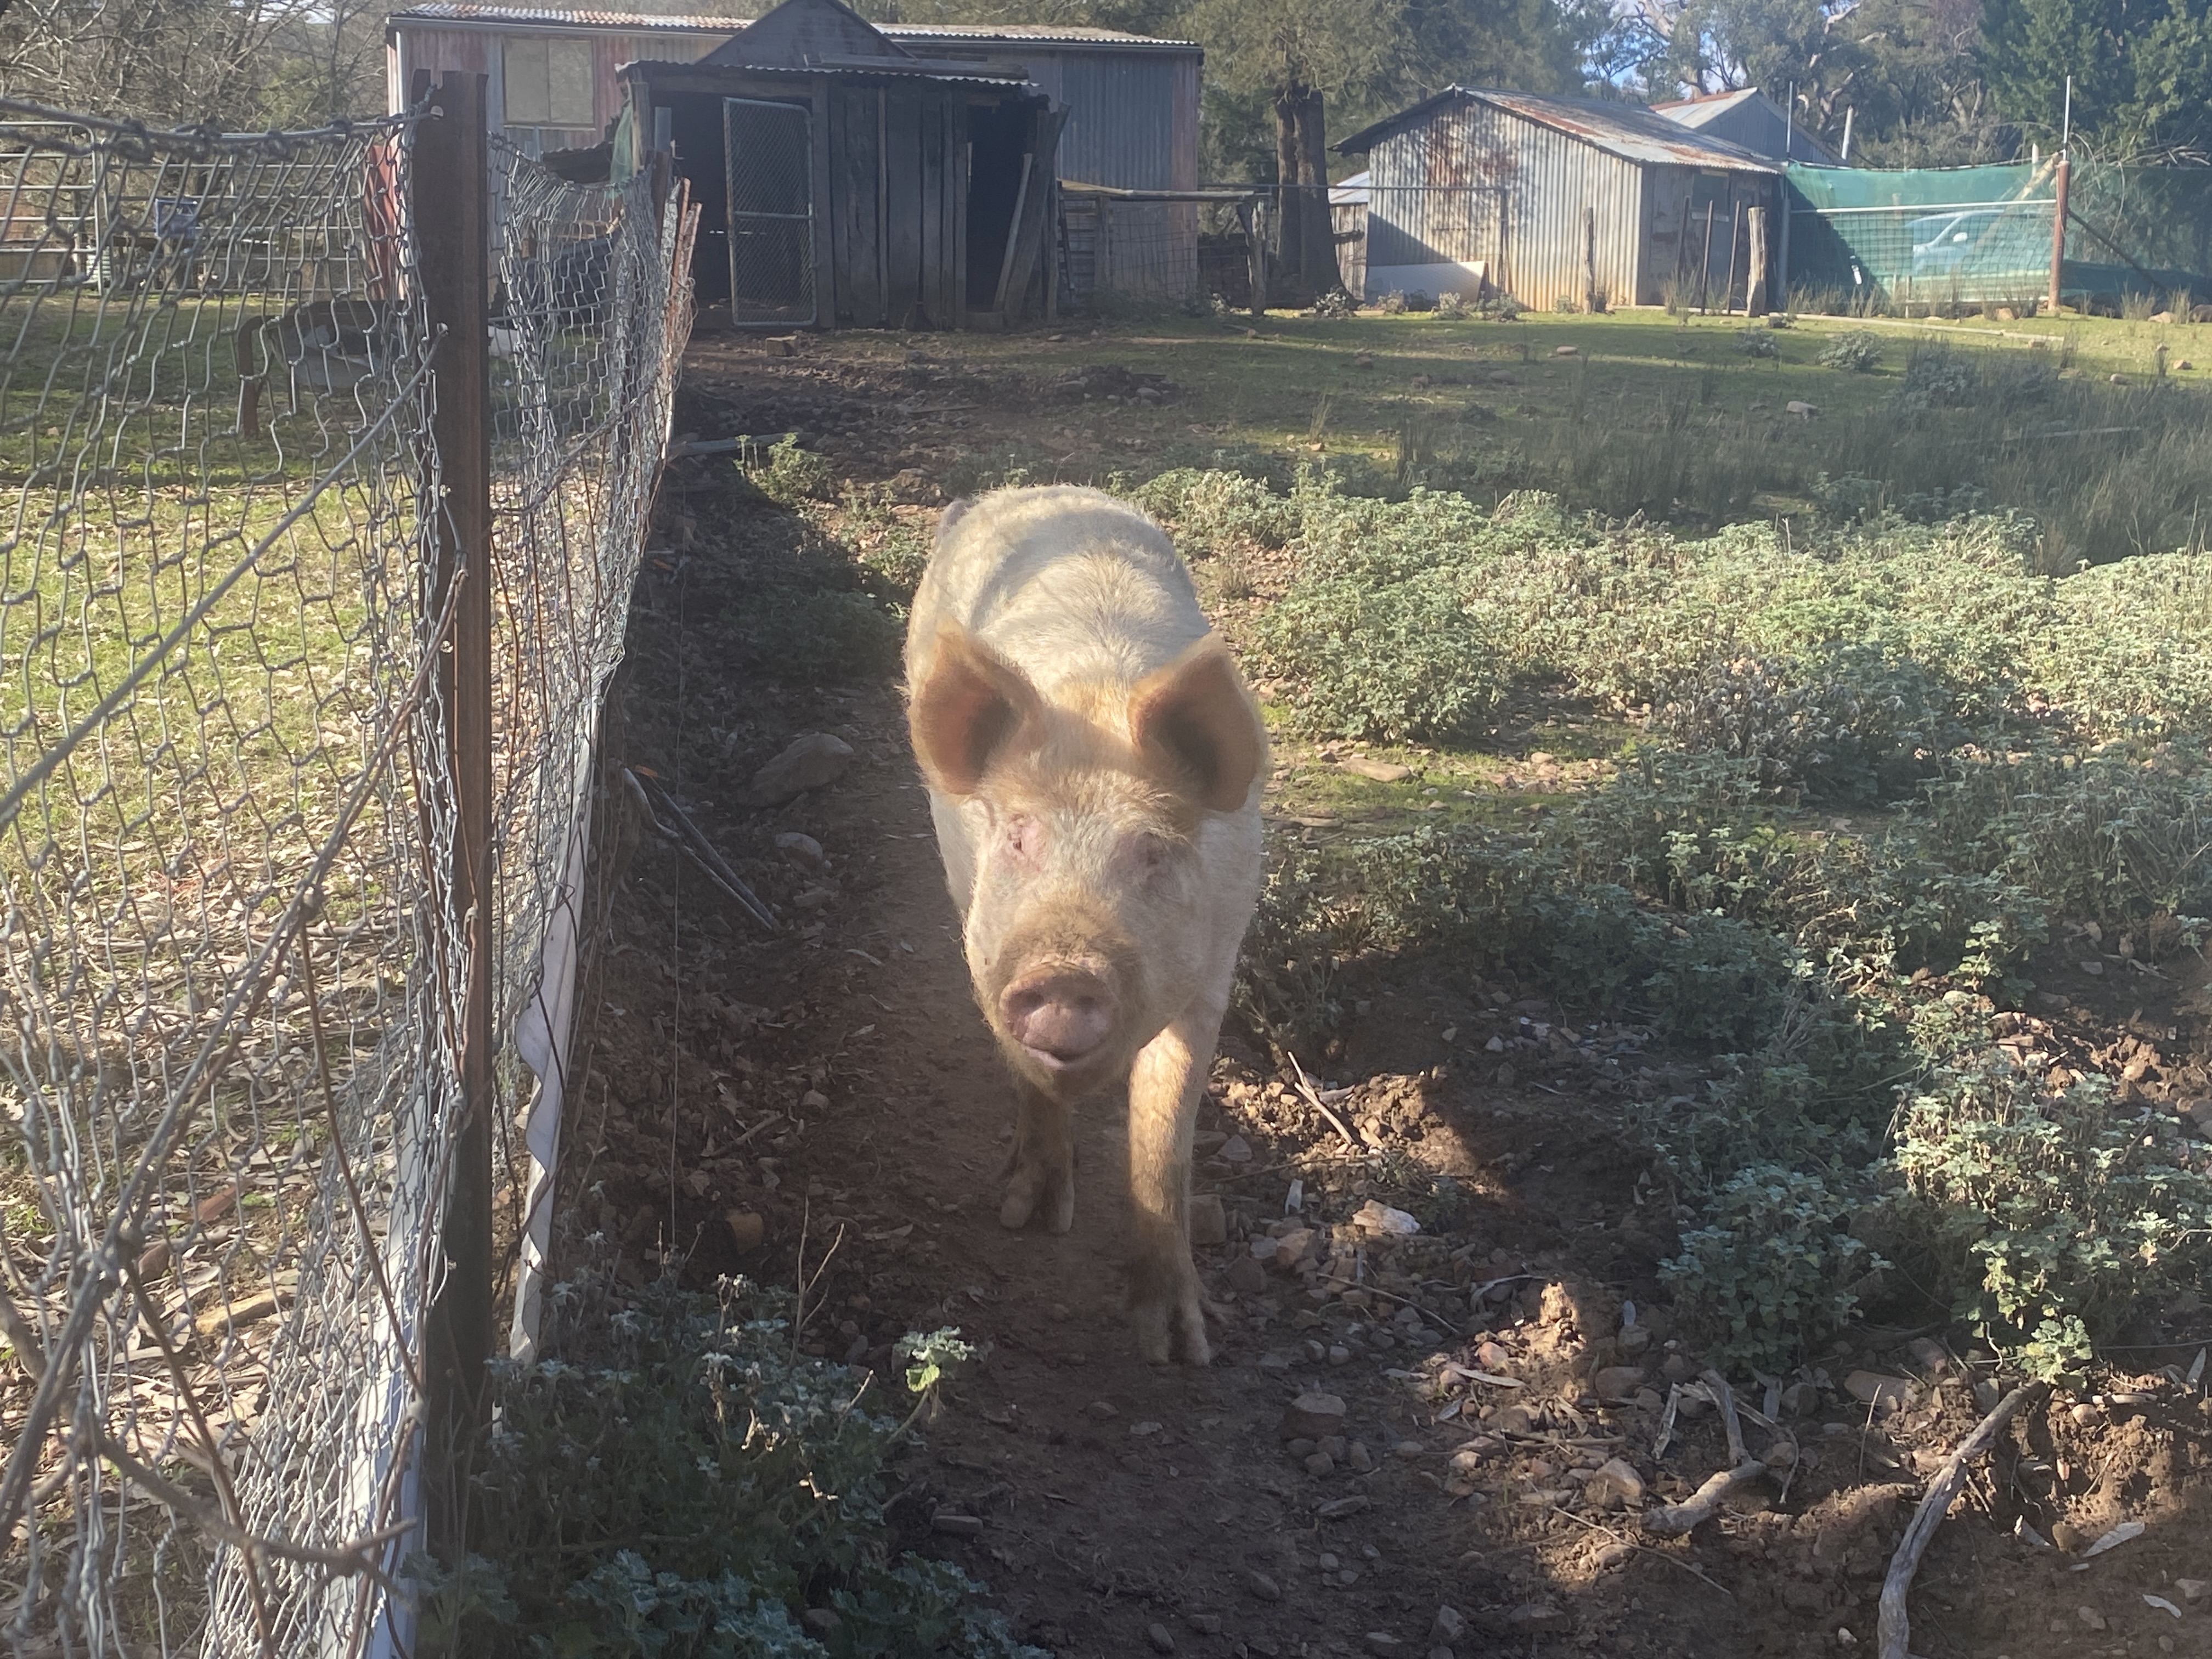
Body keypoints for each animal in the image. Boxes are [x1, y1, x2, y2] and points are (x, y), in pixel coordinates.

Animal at [903, 485, 1267, 1364]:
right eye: (1018, 836)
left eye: (1153, 851)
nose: (1065, 974)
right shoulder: (983, 941)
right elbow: (1030, 1081)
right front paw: (1027, 1218)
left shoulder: (1216, 964)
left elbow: (1165, 1129)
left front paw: (1177, 1350)